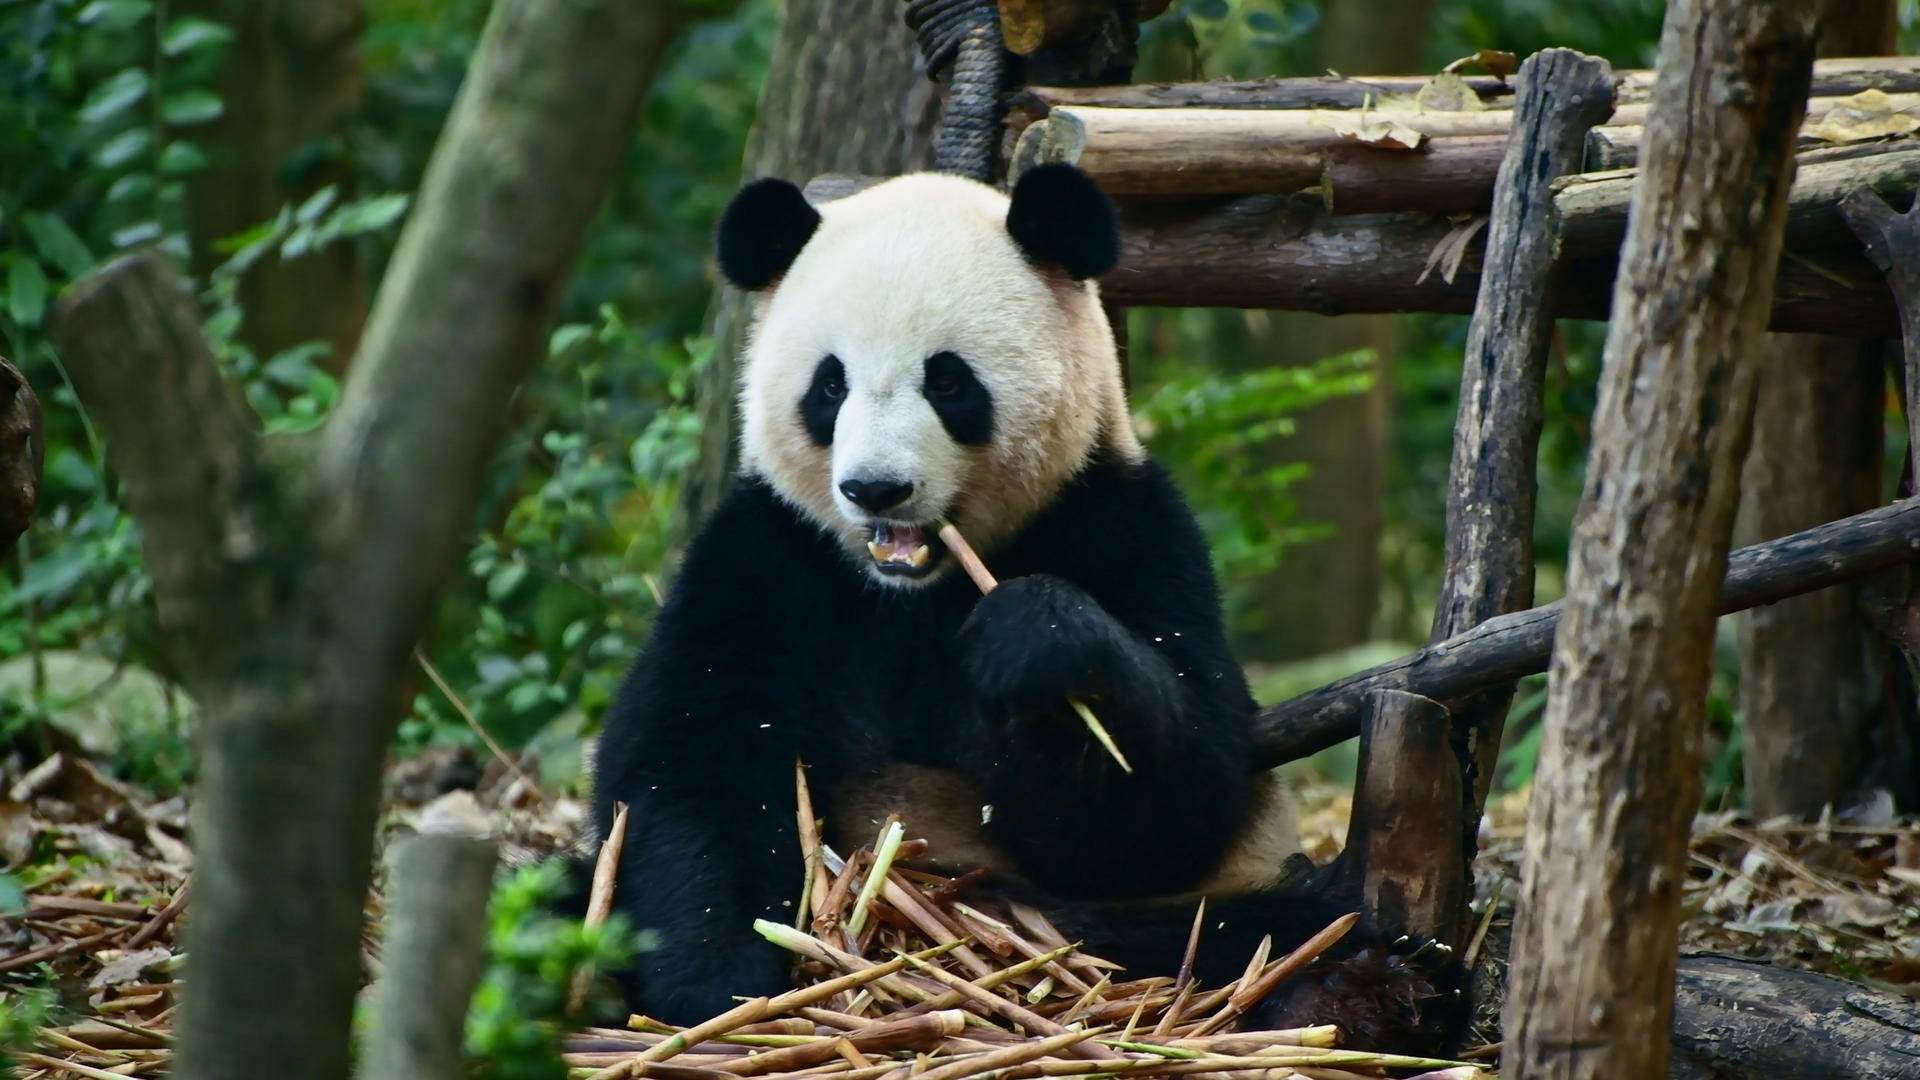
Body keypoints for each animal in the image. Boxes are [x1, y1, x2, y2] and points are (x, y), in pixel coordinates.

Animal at [591, 166, 1459, 1053]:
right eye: (828, 385)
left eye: (947, 381)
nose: (876, 488)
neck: (914, 592)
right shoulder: (769, 561)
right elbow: (690, 767)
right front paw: (719, 992)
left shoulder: (1121, 526)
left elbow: (1173, 809)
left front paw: (1036, 642)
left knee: (1254, 931)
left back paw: (1368, 988)